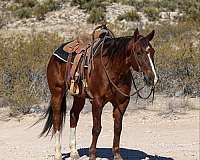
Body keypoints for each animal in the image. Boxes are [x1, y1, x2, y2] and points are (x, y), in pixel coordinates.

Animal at [41, 28, 158, 159]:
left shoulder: (122, 103)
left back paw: (74, 152)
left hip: (79, 97)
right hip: (57, 93)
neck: (112, 69)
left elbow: (118, 128)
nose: (152, 78)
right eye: (138, 52)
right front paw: (92, 154)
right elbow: (96, 129)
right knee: (57, 119)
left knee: (73, 115)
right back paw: (58, 153)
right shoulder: (97, 101)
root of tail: (55, 53)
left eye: (152, 52)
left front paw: (117, 155)